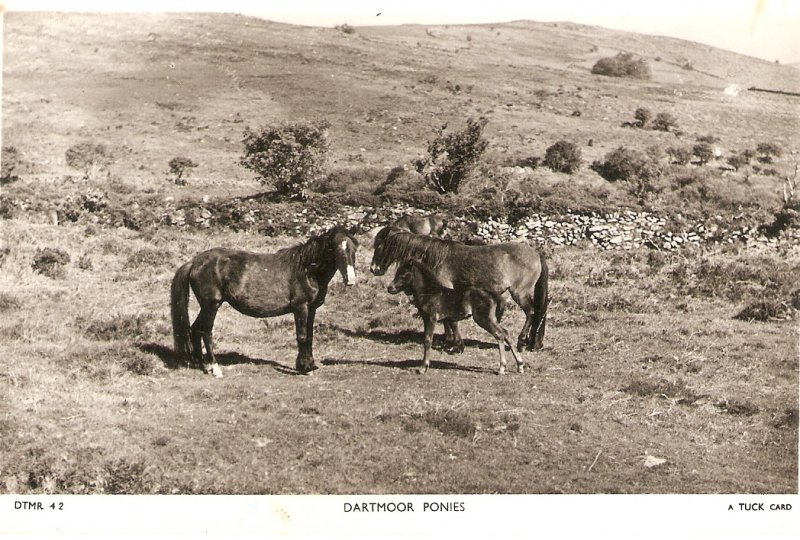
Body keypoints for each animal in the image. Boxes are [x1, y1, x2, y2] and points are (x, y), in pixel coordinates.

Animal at [172, 227, 360, 376]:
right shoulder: (301, 308)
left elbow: (310, 337)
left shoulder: (311, 309)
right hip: (211, 306)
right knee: (206, 332)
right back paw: (215, 368)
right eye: (335, 249)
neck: (307, 271)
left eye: (354, 249)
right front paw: (304, 367)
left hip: (206, 307)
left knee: (195, 329)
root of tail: (193, 262)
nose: (350, 279)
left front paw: (310, 365)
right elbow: (302, 336)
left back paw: (201, 365)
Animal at [370, 227, 552, 350]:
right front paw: (449, 340)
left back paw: (521, 341)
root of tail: (536, 253)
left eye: (379, 246)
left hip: (519, 293)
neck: (435, 258)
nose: (373, 269)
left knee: (531, 312)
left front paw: (452, 343)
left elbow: (449, 319)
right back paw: (531, 342)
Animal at [388, 260, 524, 374]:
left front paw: (423, 368)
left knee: (499, 335)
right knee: (506, 333)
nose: (390, 288)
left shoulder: (430, 319)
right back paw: (520, 365)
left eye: (402, 274)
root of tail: (494, 296)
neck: (429, 292)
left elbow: (427, 340)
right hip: (491, 318)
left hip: (483, 318)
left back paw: (502, 368)